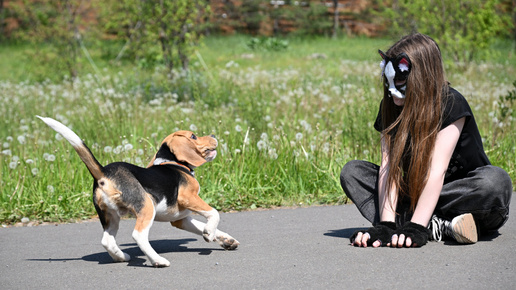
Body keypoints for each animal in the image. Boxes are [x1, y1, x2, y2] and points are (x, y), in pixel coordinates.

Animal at [37, 115, 240, 268]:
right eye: (194, 136)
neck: (172, 162)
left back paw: (121, 257)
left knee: (107, 240)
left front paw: (224, 239)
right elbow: (214, 213)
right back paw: (158, 260)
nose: (213, 134)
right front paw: (209, 233)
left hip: (110, 216)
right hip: (146, 206)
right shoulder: (188, 197)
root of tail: (104, 172)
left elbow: (204, 225)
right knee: (138, 235)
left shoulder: (180, 219)